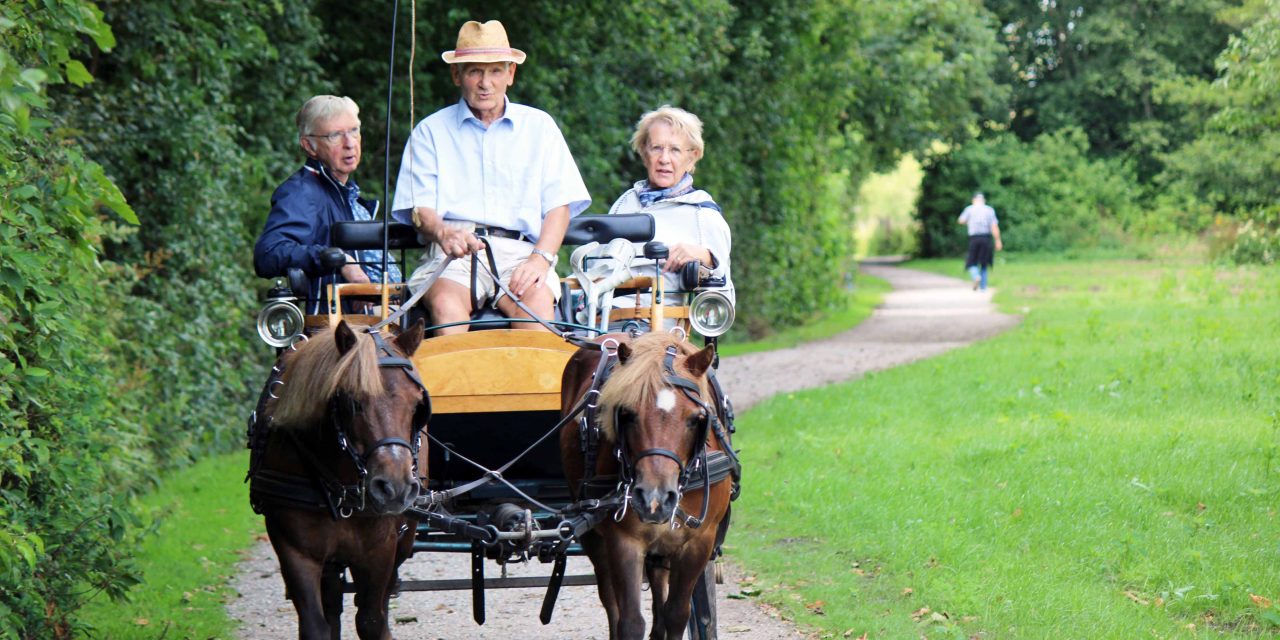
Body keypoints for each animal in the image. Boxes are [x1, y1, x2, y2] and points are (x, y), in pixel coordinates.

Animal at [252, 322, 427, 637]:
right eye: (353, 402)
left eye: (417, 404)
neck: (342, 487)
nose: (394, 488)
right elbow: (315, 625)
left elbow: (371, 620)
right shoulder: (294, 549)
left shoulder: (379, 549)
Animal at [560, 332, 732, 637]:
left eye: (695, 419)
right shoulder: (624, 541)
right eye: (627, 414)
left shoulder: (699, 541)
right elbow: (629, 621)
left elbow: (676, 613)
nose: (655, 499)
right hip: (593, 535)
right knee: (610, 599)